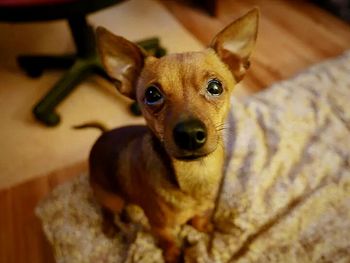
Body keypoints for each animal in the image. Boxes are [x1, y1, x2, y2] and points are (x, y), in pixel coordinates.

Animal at [89, 8, 258, 263]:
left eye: (215, 87)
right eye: (152, 95)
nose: (189, 134)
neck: (195, 174)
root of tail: (102, 136)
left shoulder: (201, 208)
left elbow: (198, 218)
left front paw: (204, 227)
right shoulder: (159, 227)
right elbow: (167, 240)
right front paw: (172, 253)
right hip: (111, 197)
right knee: (107, 210)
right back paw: (111, 226)